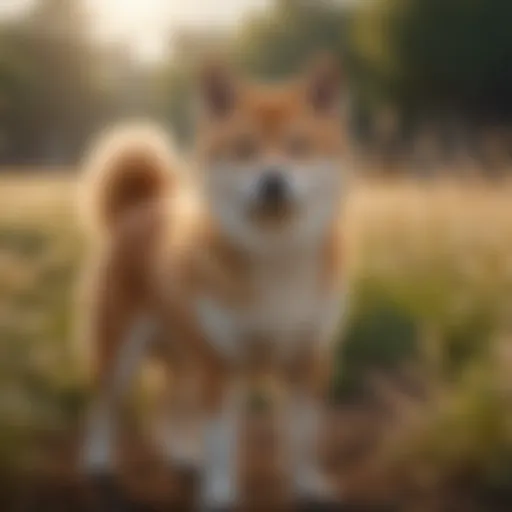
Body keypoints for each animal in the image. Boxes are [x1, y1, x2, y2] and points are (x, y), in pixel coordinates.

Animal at [80, 54, 350, 510]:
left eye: (298, 147)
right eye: (244, 149)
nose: (273, 179)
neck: (274, 252)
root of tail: (140, 208)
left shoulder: (307, 358)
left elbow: (304, 437)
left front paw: (309, 485)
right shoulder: (223, 364)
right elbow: (221, 442)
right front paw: (220, 494)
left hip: (186, 356)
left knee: (167, 405)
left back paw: (182, 458)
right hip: (125, 352)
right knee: (104, 408)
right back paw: (98, 466)